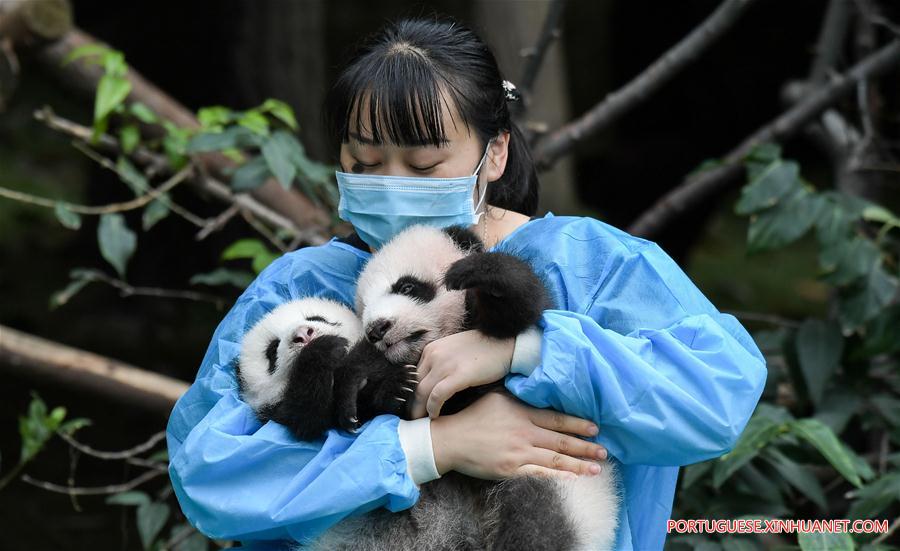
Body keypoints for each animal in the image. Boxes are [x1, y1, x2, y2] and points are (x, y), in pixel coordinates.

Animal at [237, 224, 621, 550]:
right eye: (364, 311)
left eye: (407, 287)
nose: (377, 328)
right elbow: (315, 416)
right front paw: (366, 382)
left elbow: (520, 314)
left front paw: (482, 274)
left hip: (562, 483)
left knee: (538, 523)